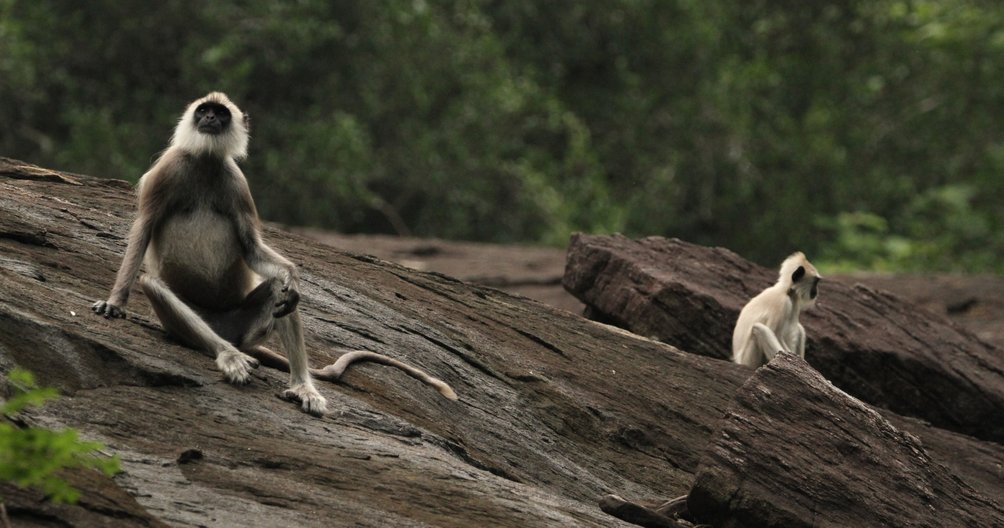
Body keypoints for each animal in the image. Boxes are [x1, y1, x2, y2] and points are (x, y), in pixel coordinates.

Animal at [94, 92, 455, 417]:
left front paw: (292, 276)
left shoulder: (237, 184)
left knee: (280, 292)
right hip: (181, 325)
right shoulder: (168, 170)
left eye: (221, 114)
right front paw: (115, 302)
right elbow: (143, 229)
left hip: (244, 322)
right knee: (154, 284)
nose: (210, 119)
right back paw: (229, 356)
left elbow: (255, 251)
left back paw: (302, 385)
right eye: (204, 111)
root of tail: (229, 332)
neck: (206, 162)